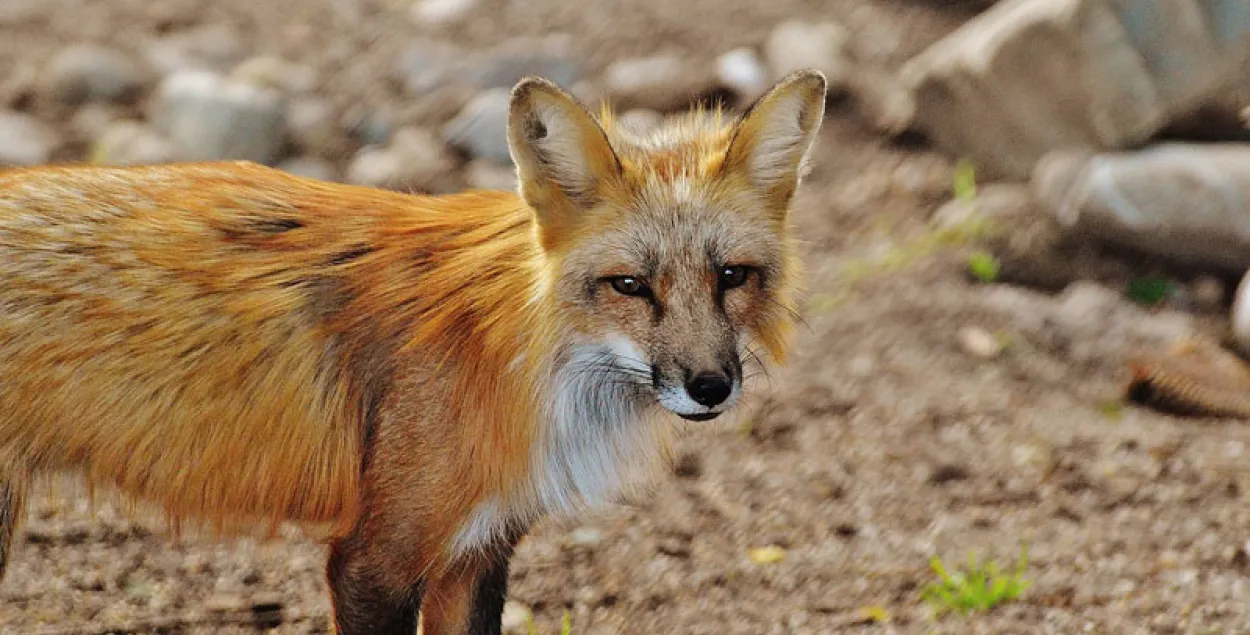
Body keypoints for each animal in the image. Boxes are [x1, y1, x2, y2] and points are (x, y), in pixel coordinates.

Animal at [2, 70, 830, 635]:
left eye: (733, 276)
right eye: (629, 285)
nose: (710, 385)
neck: (518, 359)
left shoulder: (478, 551)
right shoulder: (375, 558)